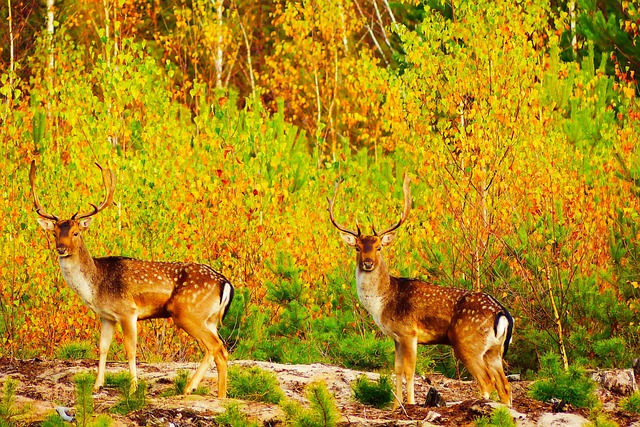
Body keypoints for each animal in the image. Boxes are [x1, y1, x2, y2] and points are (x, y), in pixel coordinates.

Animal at [29, 162, 235, 400]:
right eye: (54, 233)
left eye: (76, 233)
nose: (61, 249)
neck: (94, 287)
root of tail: (225, 283)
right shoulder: (107, 316)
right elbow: (103, 347)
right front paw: (97, 385)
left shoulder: (128, 311)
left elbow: (130, 350)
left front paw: (133, 388)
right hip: (209, 318)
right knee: (218, 349)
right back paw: (204, 392)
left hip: (187, 312)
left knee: (216, 347)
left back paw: (205, 393)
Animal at [330, 174, 516, 408]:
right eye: (357, 247)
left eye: (379, 247)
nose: (368, 263)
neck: (383, 303)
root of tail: (503, 314)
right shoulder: (396, 336)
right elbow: (397, 370)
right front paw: (396, 406)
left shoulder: (409, 332)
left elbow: (410, 371)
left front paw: (409, 404)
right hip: (494, 350)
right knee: (504, 386)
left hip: (467, 341)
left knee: (487, 381)